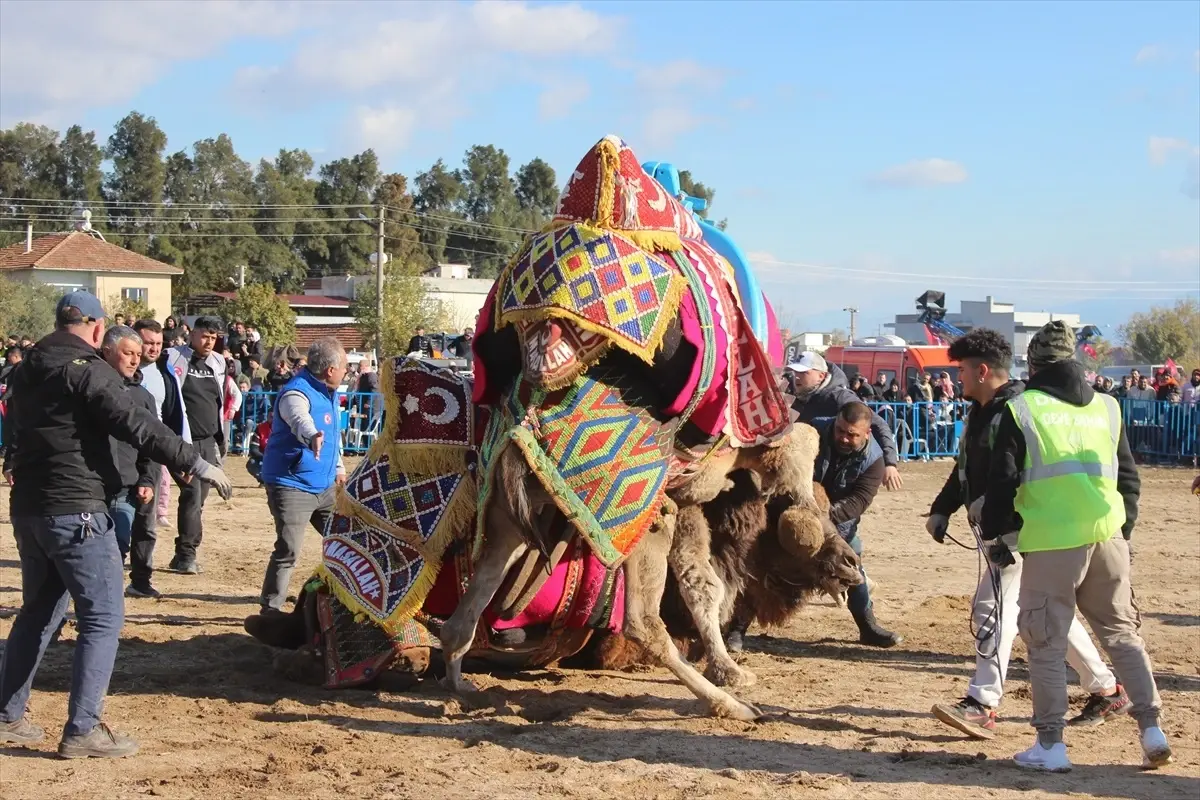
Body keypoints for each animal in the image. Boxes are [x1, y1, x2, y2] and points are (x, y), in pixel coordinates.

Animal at [243, 136, 864, 719]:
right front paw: (734, 676)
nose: (851, 566)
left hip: (508, 518)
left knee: (464, 613)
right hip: (609, 519)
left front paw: (733, 667)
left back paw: (457, 684)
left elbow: (702, 583)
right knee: (637, 620)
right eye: (800, 516)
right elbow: (744, 519)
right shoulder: (698, 481)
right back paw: (725, 705)